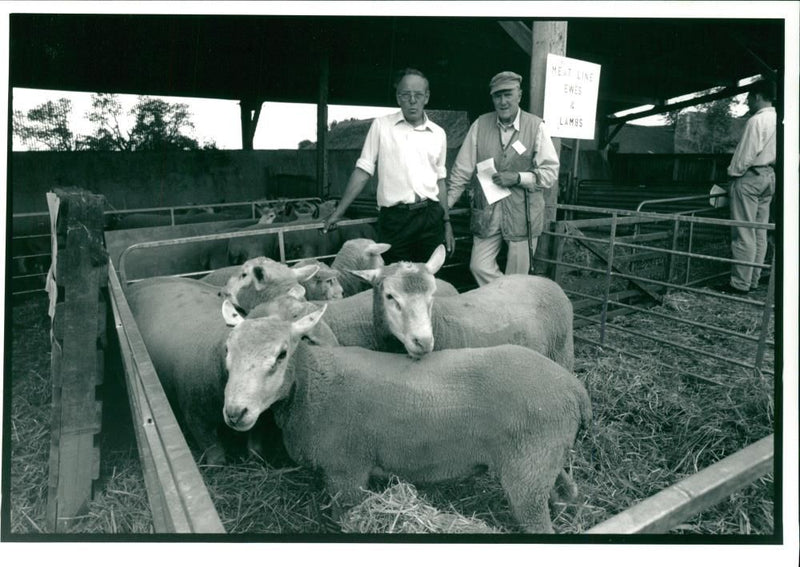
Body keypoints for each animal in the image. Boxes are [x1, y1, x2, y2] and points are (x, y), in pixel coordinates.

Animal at [126, 276, 326, 466]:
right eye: (227, 349)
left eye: (282, 354)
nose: (235, 413)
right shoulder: (196, 417)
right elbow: (215, 455)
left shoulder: (260, 417)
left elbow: (255, 447)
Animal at [222, 300, 592, 536]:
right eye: (228, 349)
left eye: (281, 354)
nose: (235, 412)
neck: (312, 382)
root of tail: (574, 387)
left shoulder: (346, 473)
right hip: (544, 457)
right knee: (567, 489)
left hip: (526, 468)